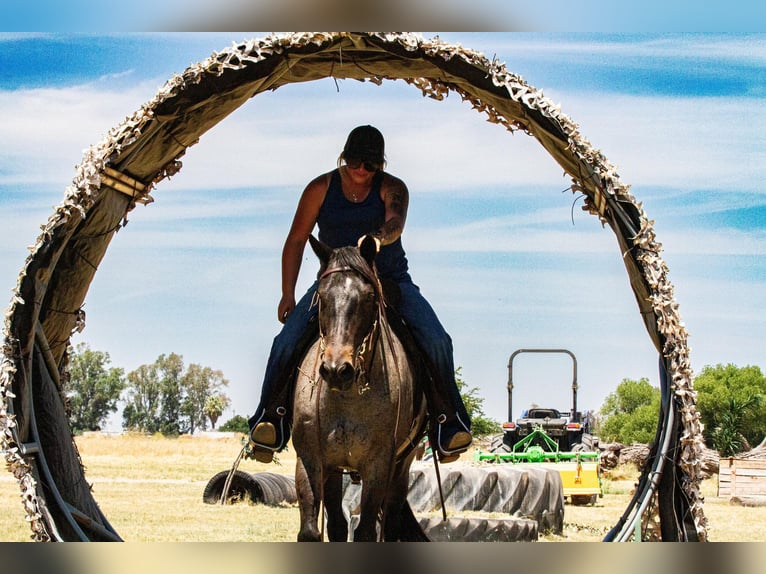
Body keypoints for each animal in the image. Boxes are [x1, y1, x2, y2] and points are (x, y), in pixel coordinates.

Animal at [292, 236, 428, 544]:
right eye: (322, 297)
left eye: (368, 298)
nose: (336, 370)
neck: (346, 398)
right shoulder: (310, 458)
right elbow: (311, 531)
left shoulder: (379, 466)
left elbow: (366, 531)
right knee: (337, 524)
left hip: (402, 467)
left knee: (390, 524)